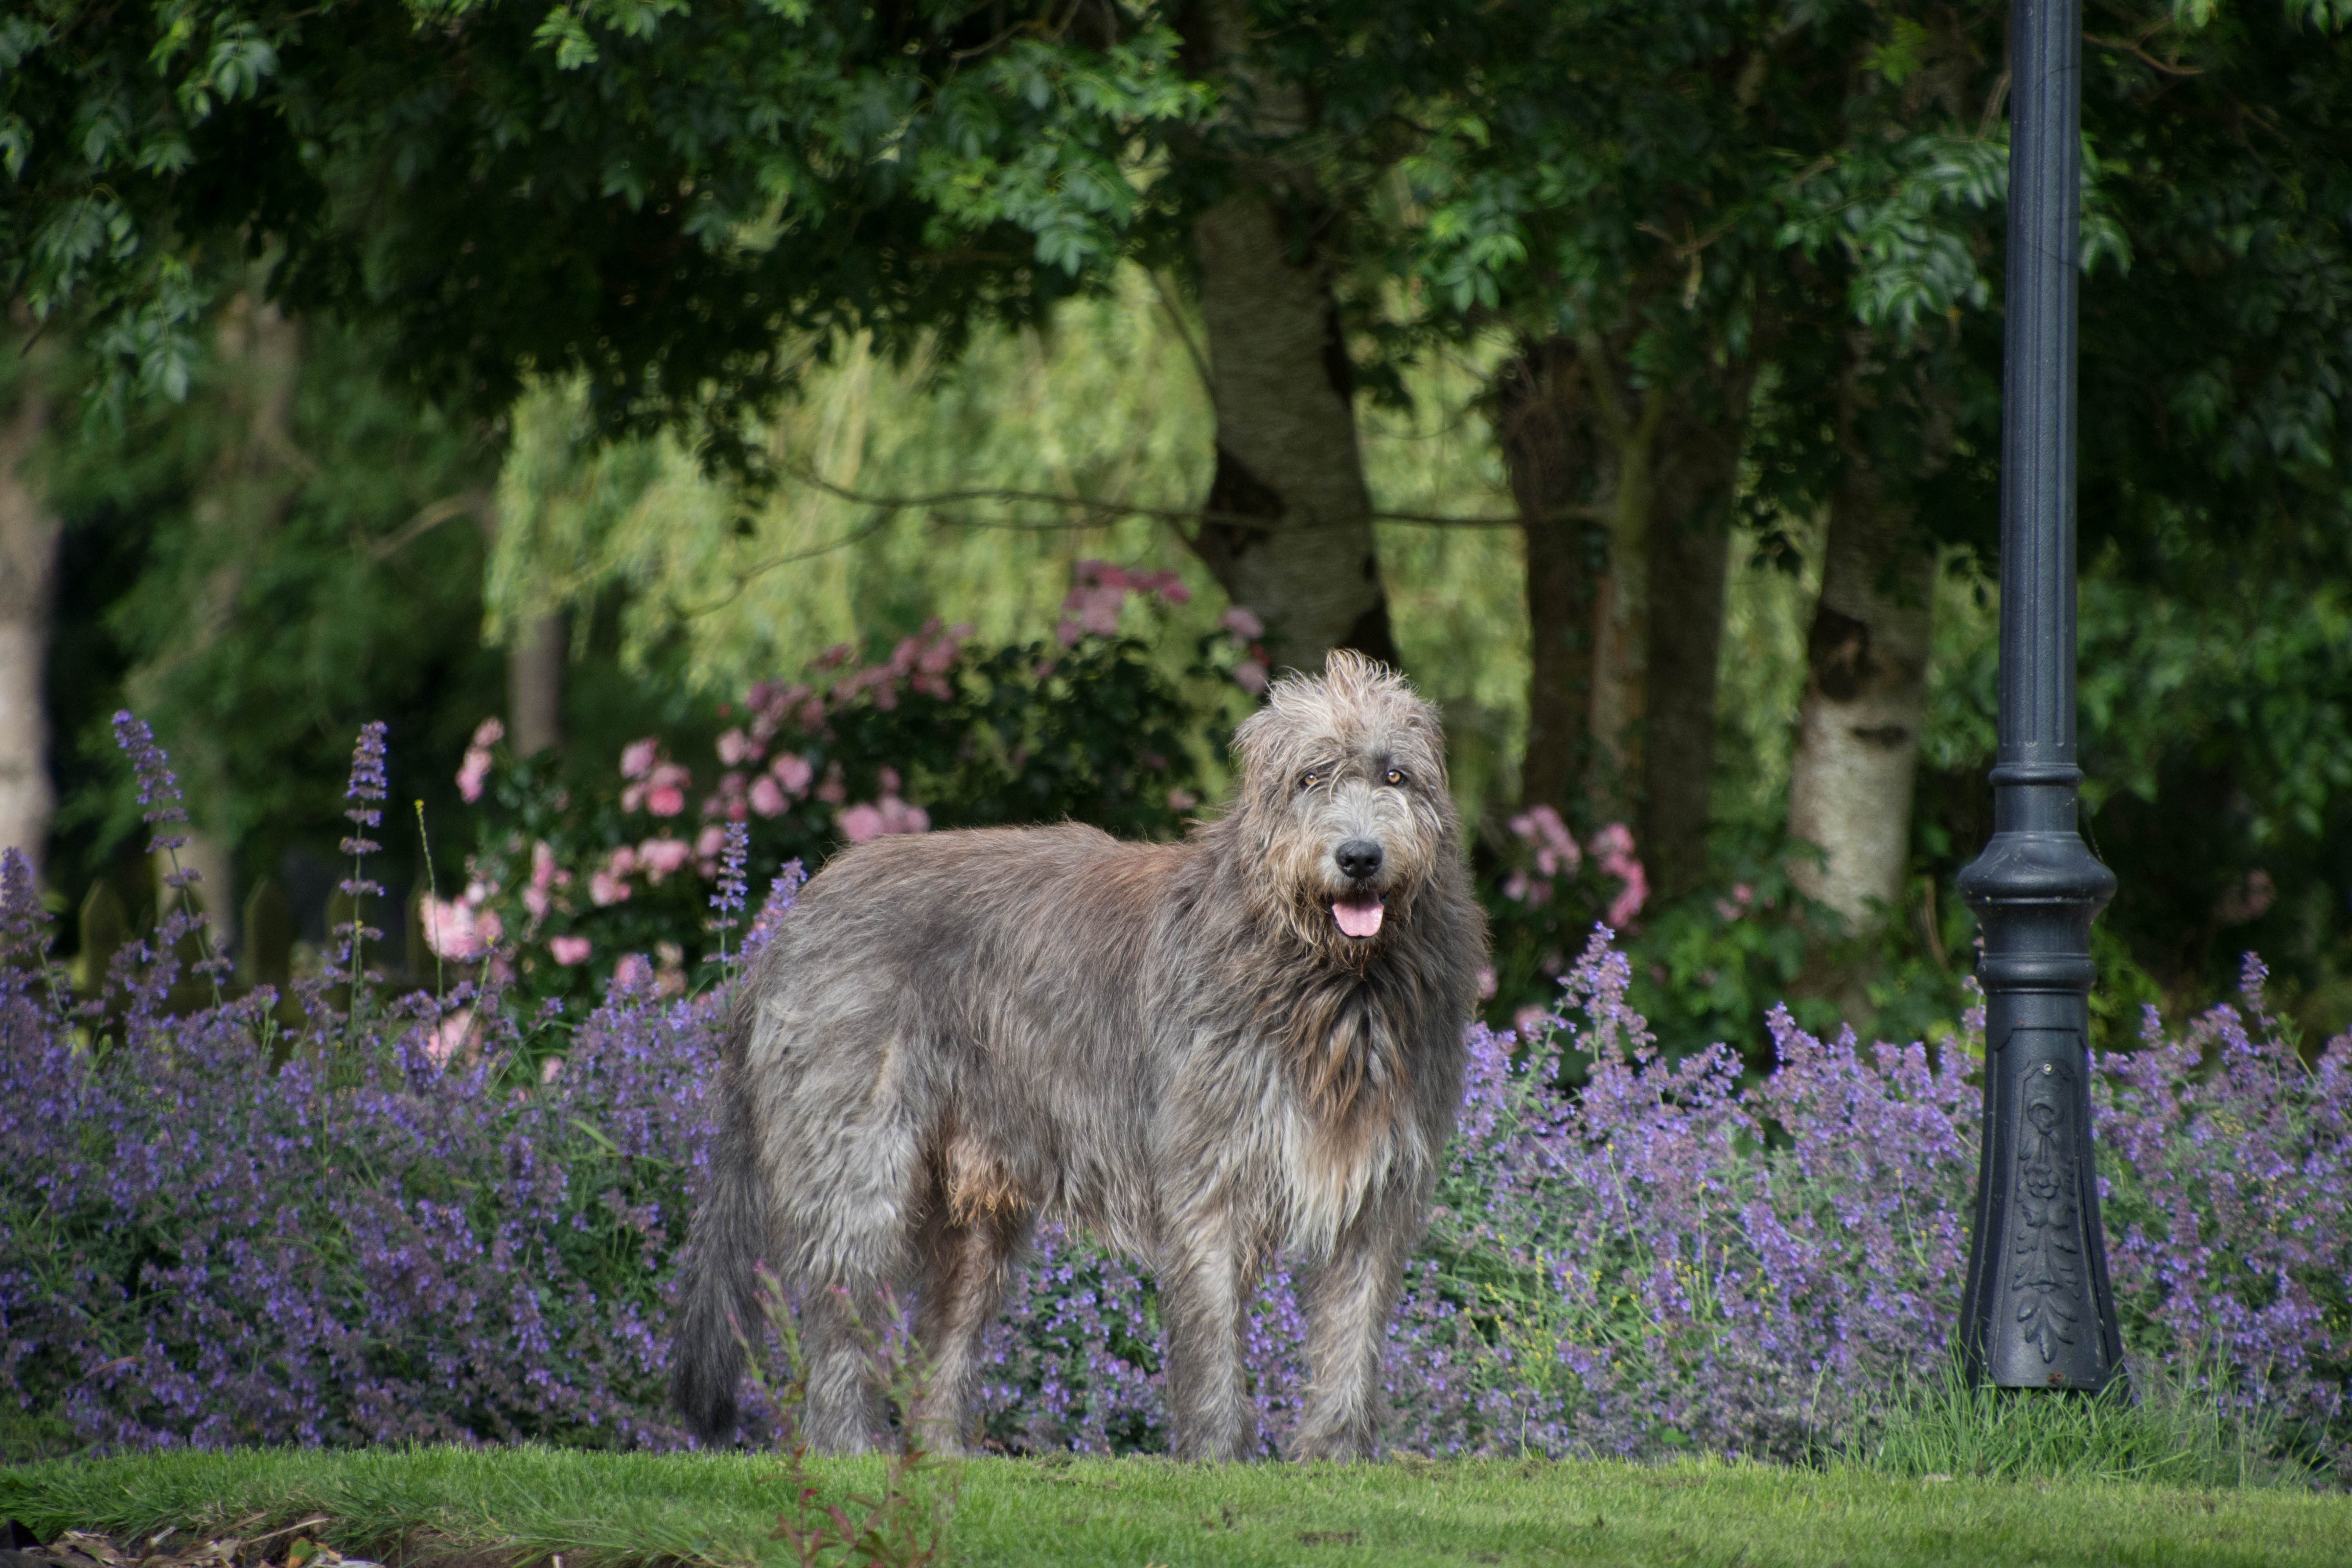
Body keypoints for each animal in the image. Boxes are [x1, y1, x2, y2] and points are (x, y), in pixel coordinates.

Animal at [673, 649, 1477, 1457]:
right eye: (1312, 777)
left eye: (1396, 776)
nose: (1360, 857)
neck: (1330, 981)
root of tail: (789, 923)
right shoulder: (1211, 1176)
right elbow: (1213, 1337)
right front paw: (1217, 1459)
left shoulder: (1378, 1188)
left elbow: (1352, 1337)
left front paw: (1335, 1462)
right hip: (856, 1165)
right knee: (842, 1314)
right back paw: (850, 1452)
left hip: (978, 1208)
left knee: (945, 1337)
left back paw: (941, 1456)